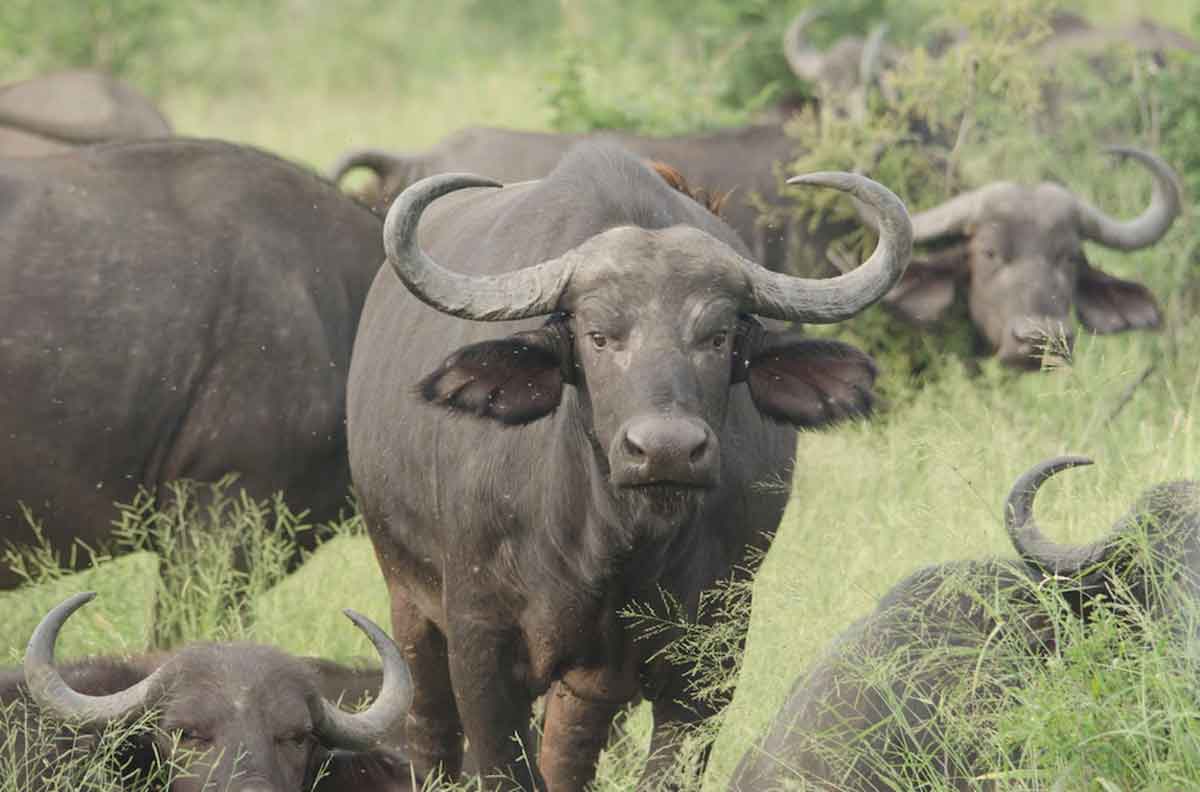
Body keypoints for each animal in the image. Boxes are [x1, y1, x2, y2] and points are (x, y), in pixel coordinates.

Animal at [346, 142, 911, 790]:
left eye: (718, 337)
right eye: (597, 336)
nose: (666, 449)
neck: (608, 542)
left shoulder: (709, 655)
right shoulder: (479, 643)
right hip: (407, 597)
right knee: (431, 732)